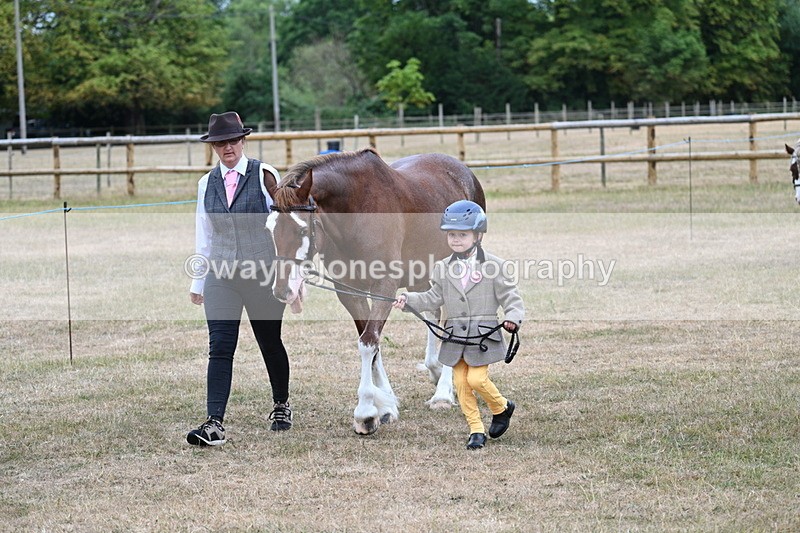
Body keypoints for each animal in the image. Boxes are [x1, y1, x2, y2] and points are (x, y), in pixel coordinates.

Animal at [263, 148, 486, 435]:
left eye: (302, 229)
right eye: (269, 228)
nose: (282, 290)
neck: (356, 212)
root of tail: (462, 170)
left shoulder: (385, 287)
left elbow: (369, 342)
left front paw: (366, 412)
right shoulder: (349, 291)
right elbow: (371, 342)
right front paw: (386, 406)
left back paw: (443, 393)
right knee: (433, 313)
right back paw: (435, 369)